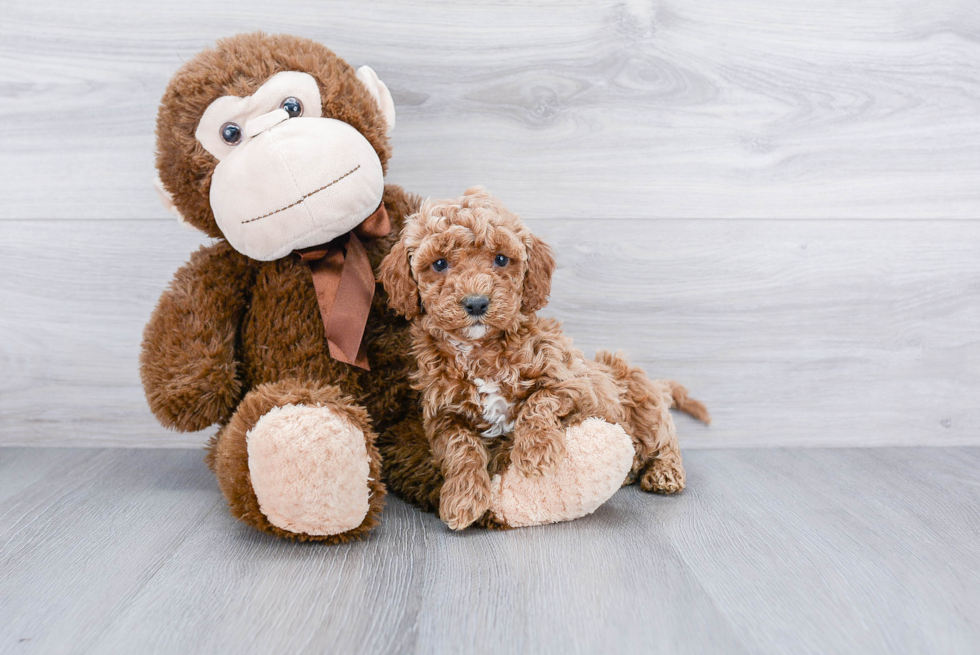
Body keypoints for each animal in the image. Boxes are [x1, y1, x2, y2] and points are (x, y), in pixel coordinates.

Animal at [378, 187, 708, 532]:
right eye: (439, 264)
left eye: (500, 259)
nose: (477, 303)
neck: (479, 350)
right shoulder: (443, 414)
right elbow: (460, 447)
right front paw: (463, 498)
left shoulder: (574, 383)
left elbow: (538, 402)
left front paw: (535, 453)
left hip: (644, 404)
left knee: (665, 440)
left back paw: (665, 473)